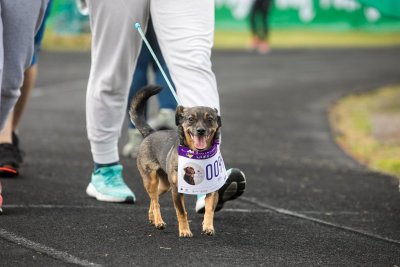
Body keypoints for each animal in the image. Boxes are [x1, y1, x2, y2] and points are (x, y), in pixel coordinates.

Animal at [129, 85, 220, 237]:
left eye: (210, 119)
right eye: (190, 119)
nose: (200, 130)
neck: (197, 155)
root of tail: (151, 133)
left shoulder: (212, 189)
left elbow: (209, 210)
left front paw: (208, 227)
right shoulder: (176, 191)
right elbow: (181, 212)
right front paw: (184, 231)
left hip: (165, 185)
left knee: (154, 199)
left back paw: (152, 218)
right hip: (151, 180)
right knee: (155, 201)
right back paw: (159, 222)